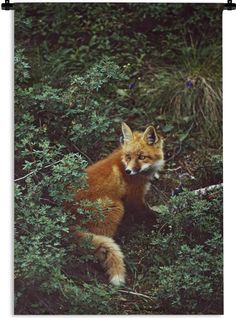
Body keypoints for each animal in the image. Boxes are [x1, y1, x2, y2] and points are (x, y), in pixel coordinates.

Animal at [72, 121, 164, 286]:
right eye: (128, 156)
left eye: (142, 157)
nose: (128, 171)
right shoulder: (135, 199)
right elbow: (149, 215)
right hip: (116, 208)